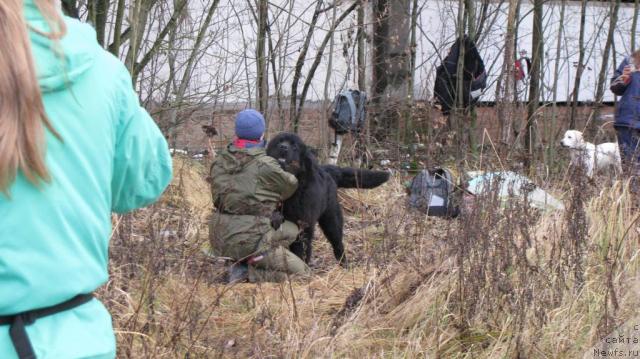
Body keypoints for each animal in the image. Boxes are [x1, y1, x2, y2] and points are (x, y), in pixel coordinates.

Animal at [266, 133, 390, 268]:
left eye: (294, 147)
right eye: (279, 142)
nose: (283, 147)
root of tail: (327, 169)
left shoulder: (303, 225)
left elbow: (302, 249)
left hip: (332, 220)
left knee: (337, 243)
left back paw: (344, 264)